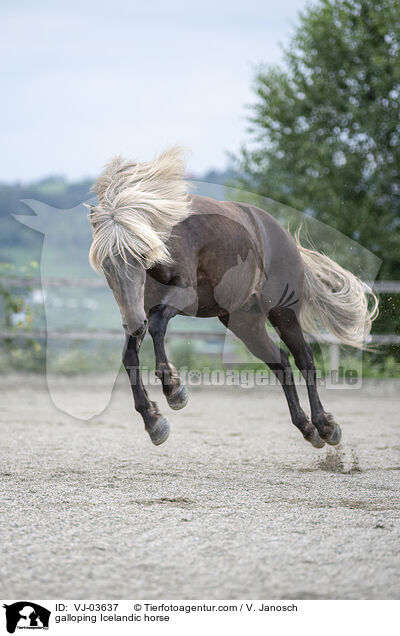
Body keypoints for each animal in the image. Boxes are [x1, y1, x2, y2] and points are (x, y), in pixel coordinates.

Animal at [87, 147, 378, 450]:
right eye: (106, 265)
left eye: (140, 256)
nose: (133, 324)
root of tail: (285, 238)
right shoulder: (138, 308)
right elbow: (129, 355)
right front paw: (154, 421)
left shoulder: (181, 295)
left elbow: (156, 324)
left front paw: (174, 389)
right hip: (244, 323)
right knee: (280, 361)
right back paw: (307, 427)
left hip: (283, 313)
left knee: (304, 359)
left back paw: (326, 426)